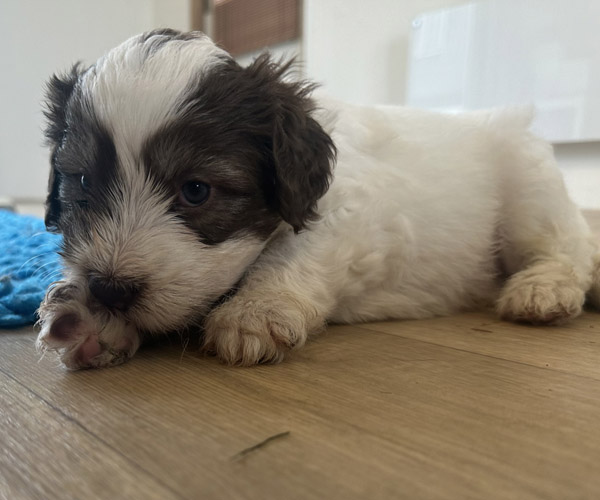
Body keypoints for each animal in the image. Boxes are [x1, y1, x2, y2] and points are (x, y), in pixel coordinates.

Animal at [36, 29, 600, 370]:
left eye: (196, 190)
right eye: (81, 183)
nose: (110, 288)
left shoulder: (353, 216)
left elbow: (295, 251)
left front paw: (256, 309)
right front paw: (90, 319)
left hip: (528, 181)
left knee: (569, 247)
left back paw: (544, 289)